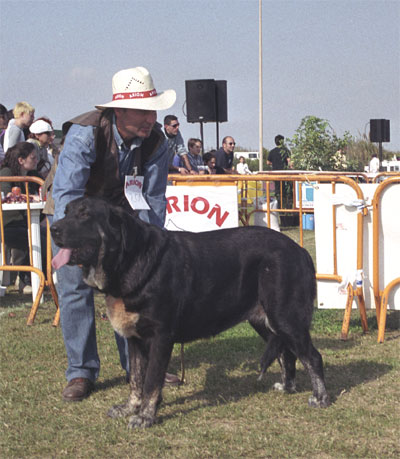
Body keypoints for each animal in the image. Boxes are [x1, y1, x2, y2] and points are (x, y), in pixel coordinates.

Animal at [51, 198, 330, 432]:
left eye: (85, 214)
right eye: (66, 212)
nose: (53, 229)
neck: (130, 259)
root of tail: (301, 251)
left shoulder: (161, 338)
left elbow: (151, 382)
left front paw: (145, 416)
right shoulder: (136, 341)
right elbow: (136, 380)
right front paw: (130, 408)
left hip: (286, 317)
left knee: (312, 357)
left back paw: (320, 398)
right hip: (266, 320)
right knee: (288, 354)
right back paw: (287, 386)